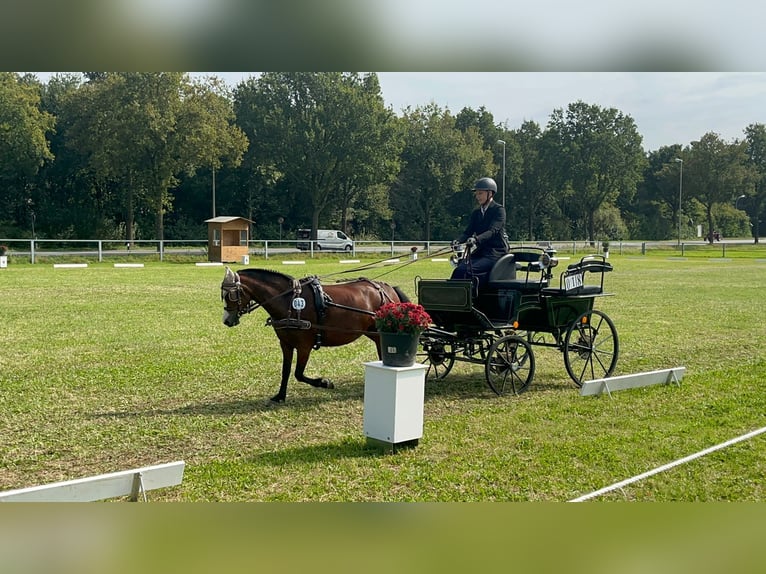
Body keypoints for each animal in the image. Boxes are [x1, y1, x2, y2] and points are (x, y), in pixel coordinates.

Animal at [222, 268, 412, 402]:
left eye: (229, 294)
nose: (226, 320)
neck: (290, 302)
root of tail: (386, 288)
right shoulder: (286, 344)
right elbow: (286, 371)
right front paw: (280, 396)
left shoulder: (304, 345)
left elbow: (298, 374)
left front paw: (324, 382)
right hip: (373, 332)